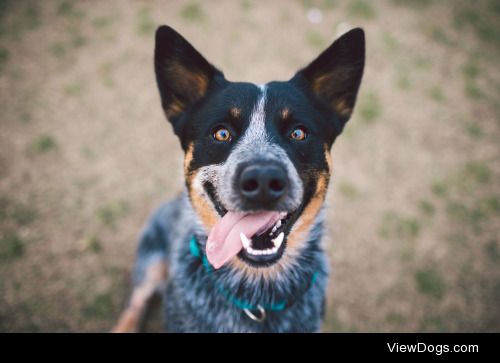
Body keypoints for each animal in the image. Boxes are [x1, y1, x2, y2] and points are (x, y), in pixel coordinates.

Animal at [112, 24, 364, 332]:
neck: (257, 299)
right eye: (221, 133)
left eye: (298, 132)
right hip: (151, 257)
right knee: (137, 299)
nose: (263, 180)